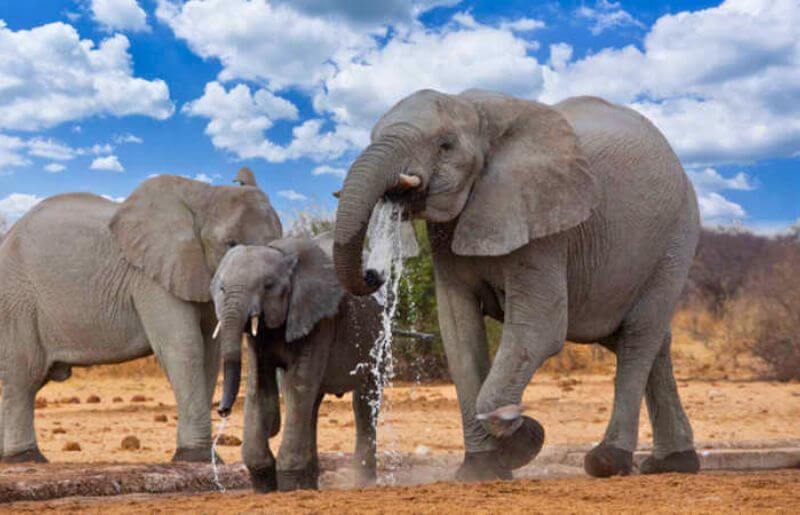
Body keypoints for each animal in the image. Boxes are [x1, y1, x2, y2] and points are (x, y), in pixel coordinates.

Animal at [0, 175, 282, 463]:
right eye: (230, 244)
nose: (224, 411)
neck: (203, 194)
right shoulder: (152, 277)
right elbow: (184, 348)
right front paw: (195, 457)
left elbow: (210, 355)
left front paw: (209, 458)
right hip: (17, 300)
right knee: (26, 374)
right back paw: (26, 458)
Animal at [211, 233, 382, 492]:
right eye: (221, 288)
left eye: (268, 286)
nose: (222, 411)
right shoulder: (258, 340)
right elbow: (259, 388)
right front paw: (265, 485)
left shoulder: (319, 319)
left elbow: (297, 385)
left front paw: (288, 485)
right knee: (312, 405)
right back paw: (310, 484)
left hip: (378, 334)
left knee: (363, 401)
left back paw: (363, 482)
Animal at [333, 89, 701, 480]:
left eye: (445, 145)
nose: (374, 274)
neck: (482, 115)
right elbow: (459, 332)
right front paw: (482, 470)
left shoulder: (544, 221)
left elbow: (539, 330)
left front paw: (522, 437)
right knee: (648, 339)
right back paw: (673, 463)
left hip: (675, 240)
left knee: (637, 339)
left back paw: (608, 461)